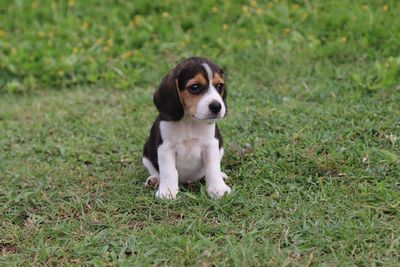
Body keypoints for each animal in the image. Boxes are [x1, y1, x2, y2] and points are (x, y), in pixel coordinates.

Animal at [143, 57, 231, 199]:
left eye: (219, 86)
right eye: (195, 87)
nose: (217, 106)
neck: (190, 121)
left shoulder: (211, 145)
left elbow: (212, 168)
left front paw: (218, 189)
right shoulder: (166, 147)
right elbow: (168, 171)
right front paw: (167, 192)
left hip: (221, 147)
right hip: (146, 152)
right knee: (154, 170)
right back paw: (155, 180)